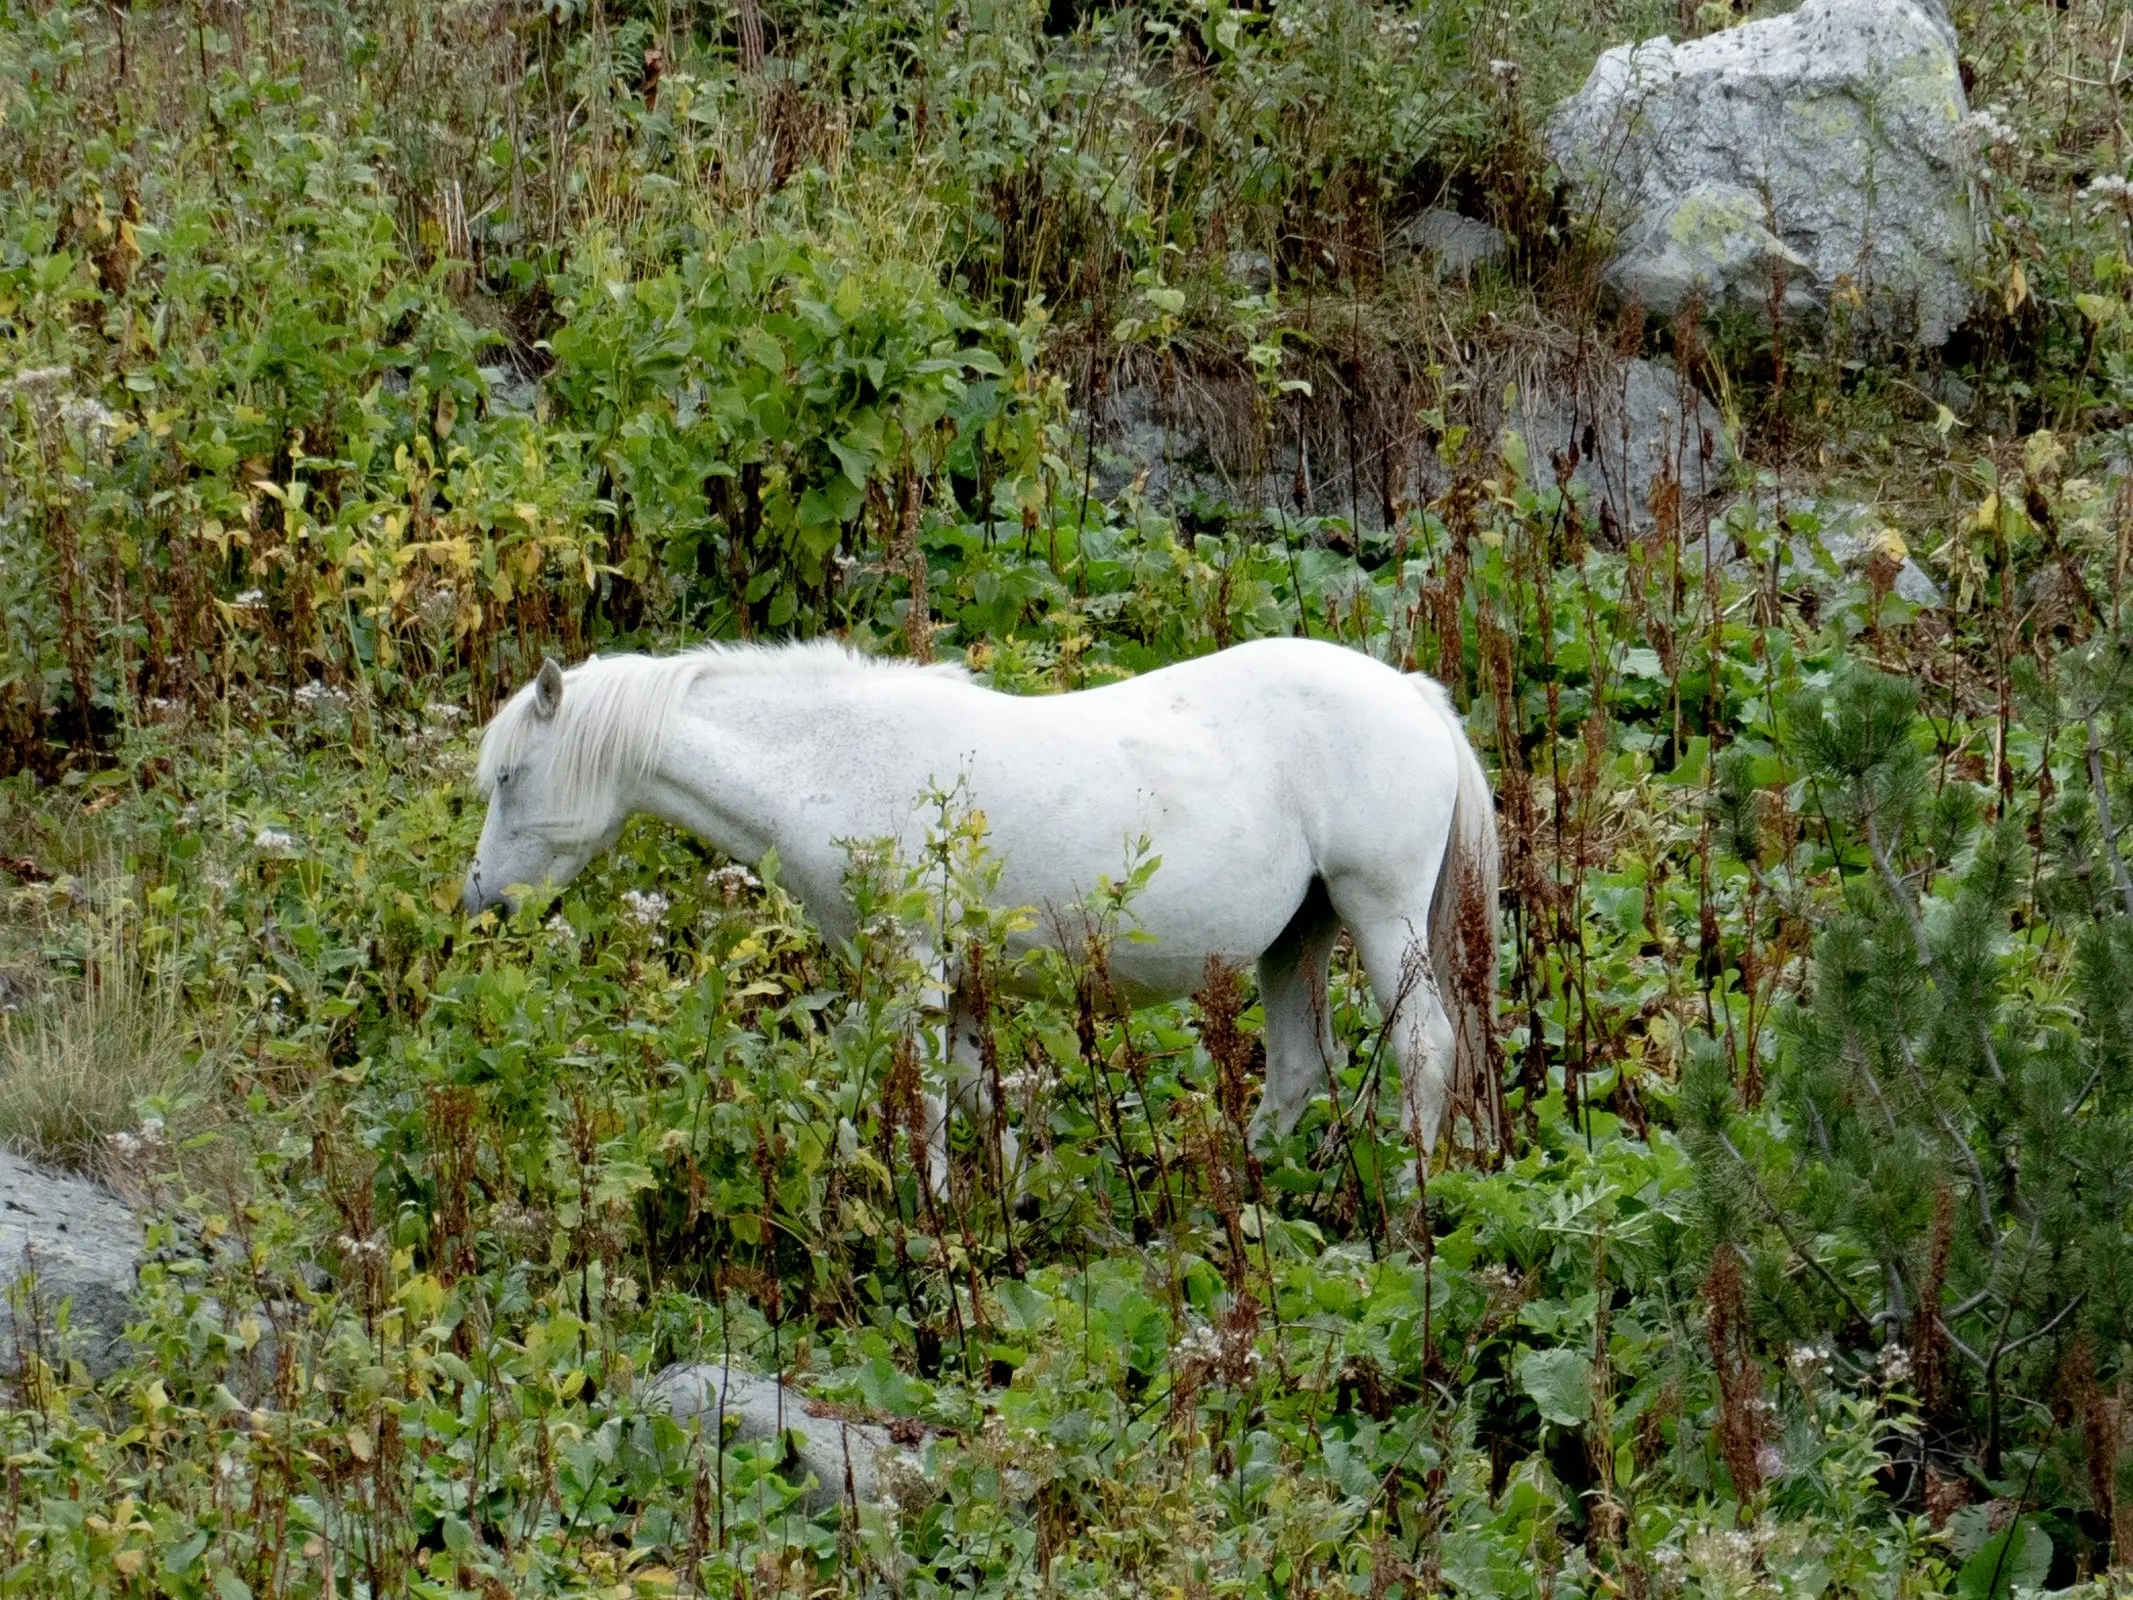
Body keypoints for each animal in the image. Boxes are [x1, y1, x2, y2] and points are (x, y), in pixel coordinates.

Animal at [467, 635, 1501, 1194]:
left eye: (510, 777)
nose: (483, 904)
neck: (831, 759)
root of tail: (1411, 695)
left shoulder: (912, 968)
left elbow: (921, 1095)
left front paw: (933, 1217)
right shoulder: (956, 980)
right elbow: (967, 1093)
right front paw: (1018, 1189)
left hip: (1380, 917)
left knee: (1423, 1050)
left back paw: (1410, 1192)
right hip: (1297, 936)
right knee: (1293, 1069)